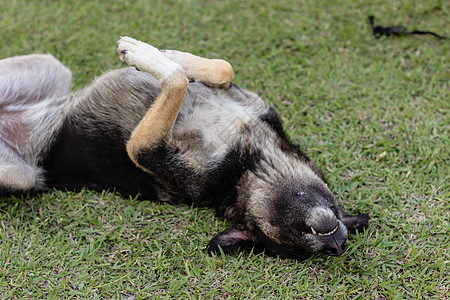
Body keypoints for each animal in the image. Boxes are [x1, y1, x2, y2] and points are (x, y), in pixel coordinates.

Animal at [0, 36, 370, 258]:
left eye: (301, 238)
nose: (337, 242)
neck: (248, 163)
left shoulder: (143, 149)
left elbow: (176, 82)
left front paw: (147, 55)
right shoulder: (245, 102)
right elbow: (222, 68)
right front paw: (168, 55)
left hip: (21, 177)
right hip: (49, 68)